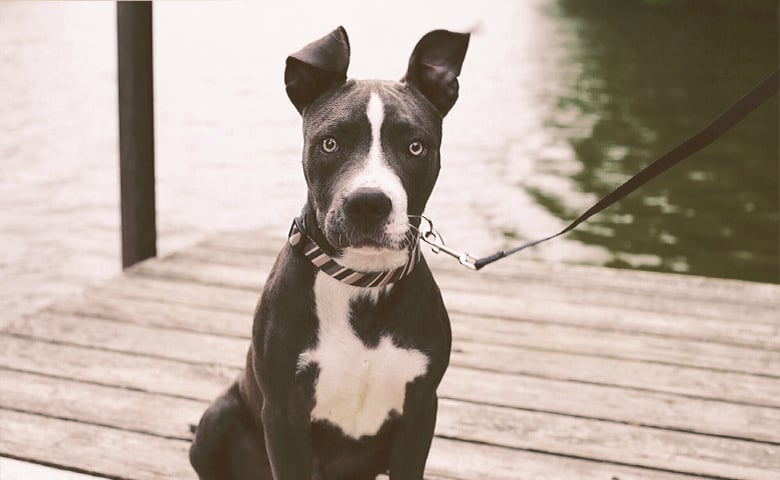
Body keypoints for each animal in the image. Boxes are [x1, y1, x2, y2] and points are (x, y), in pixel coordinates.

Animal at [189, 26, 470, 480]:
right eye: (330, 143)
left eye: (415, 147)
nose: (369, 203)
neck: (361, 283)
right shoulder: (283, 417)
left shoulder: (419, 413)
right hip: (217, 419)